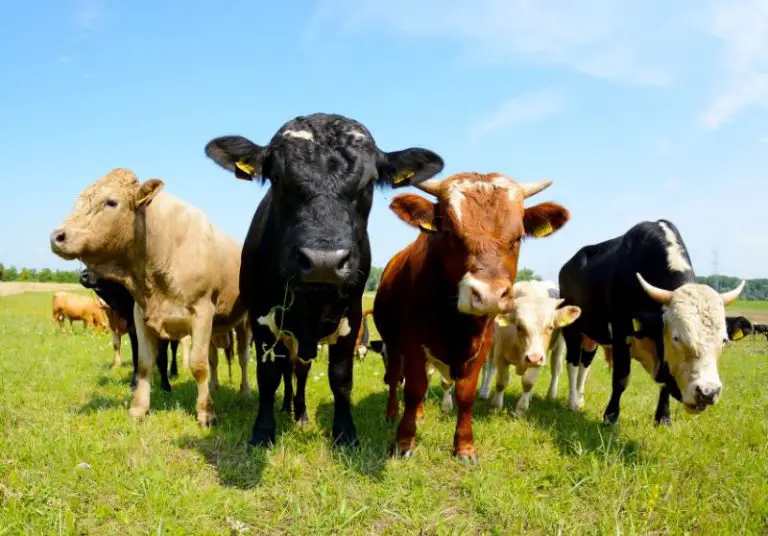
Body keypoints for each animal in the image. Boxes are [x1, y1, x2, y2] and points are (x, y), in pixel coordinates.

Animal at [50, 168, 251, 426]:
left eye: (111, 202)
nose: (57, 236)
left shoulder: (202, 312)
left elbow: (198, 365)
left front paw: (206, 412)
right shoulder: (140, 315)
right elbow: (145, 363)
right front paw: (139, 408)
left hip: (244, 322)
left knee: (243, 358)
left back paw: (244, 391)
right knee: (214, 358)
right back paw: (215, 386)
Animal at [204, 112, 444, 448]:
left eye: (370, 182)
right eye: (277, 178)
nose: (323, 261)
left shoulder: (351, 318)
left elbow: (341, 378)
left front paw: (345, 433)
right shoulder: (261, 319)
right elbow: (268, 376)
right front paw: (263, 431)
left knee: (300, 371)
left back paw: (300, 413)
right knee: (288, 370)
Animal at [373, 172, 570, 460]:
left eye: (518, 237)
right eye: (449, 231)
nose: (489, 295)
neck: (455, 323)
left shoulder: (483, 345)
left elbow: (466, 393)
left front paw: (464, 447)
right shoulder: (412, 343)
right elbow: (414, 388)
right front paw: (404, 442)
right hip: (393, 343)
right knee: (395, 377)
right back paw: (391, 413)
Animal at [477, 280, 581, 416]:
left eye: (550, 327)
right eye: (519, 326)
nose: (533, 358)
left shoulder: (540, 356)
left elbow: (528, 382)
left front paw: (520, 410)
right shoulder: (500, 353)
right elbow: (501, 382)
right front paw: (495, 407)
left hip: (559, 345)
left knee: (556, 368)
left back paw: (550, 395)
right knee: (488, 366)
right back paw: (484, 392)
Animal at [559, 220, 745, 426]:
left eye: (724, 340)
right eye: (677, 338)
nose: (707, 393)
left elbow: (665, 383)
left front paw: (663, 418)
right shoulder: (621, 331)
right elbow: (621, 377)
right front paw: (610, 416)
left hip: (592, 335)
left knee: (585, 363)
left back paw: (580, 400)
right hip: (572, 329)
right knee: (573, 362)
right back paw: (573, 401)